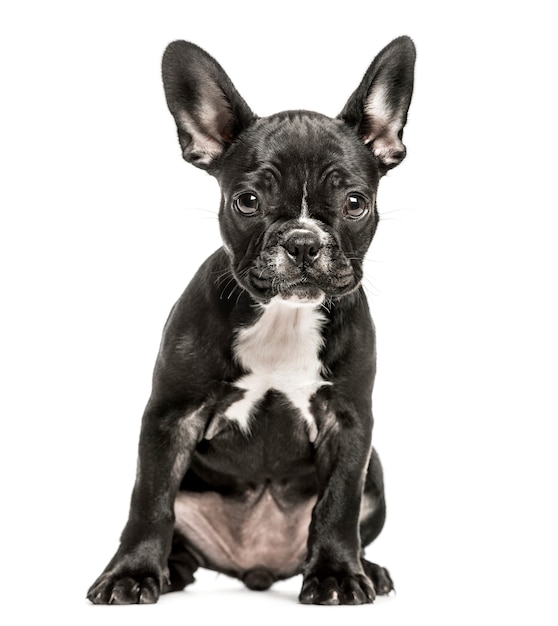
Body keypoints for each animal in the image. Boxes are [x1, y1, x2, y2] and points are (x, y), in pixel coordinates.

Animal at [88, 35, 416, 604]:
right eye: (248, 201)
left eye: (355, 202)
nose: (303, 241)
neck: (284, 316)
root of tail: (257, 569)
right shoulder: (172, 417)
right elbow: (150, 500)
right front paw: (131, 573)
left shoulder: (350, 424)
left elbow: (339, 504)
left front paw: (337, 574)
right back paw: (171, 570)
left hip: (375, 472)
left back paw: (366, 568)